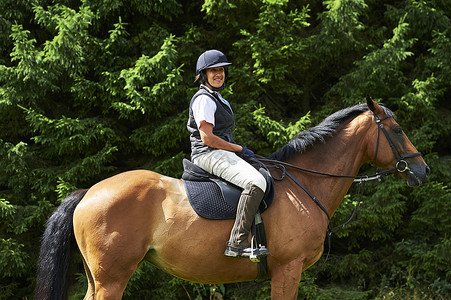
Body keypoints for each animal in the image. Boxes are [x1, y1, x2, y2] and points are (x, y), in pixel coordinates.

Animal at [33, 99, 430, 300]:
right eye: (397, 130)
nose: (422, 170)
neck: (304, 184)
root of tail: (89, 191)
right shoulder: (288, 268)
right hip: (112, 277)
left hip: (98, 277)